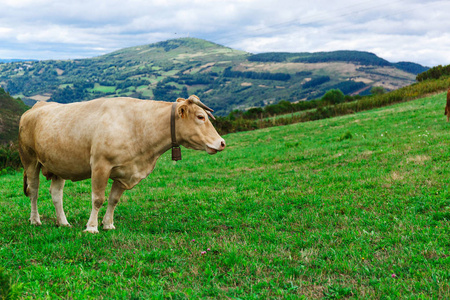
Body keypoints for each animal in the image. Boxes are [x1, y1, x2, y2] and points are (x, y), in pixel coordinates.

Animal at [18, 95, 225, 233]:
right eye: (200, 117)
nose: (222, 142)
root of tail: (36, 106)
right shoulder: (100, 165)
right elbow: (98, 198)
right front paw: (91, 227)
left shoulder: (126, 172)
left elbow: (113, 199)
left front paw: (108, 224)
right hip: (30, 160)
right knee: (34, 191)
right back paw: (35, 220)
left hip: (59, 164)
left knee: (56, 194)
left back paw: (63, 222)